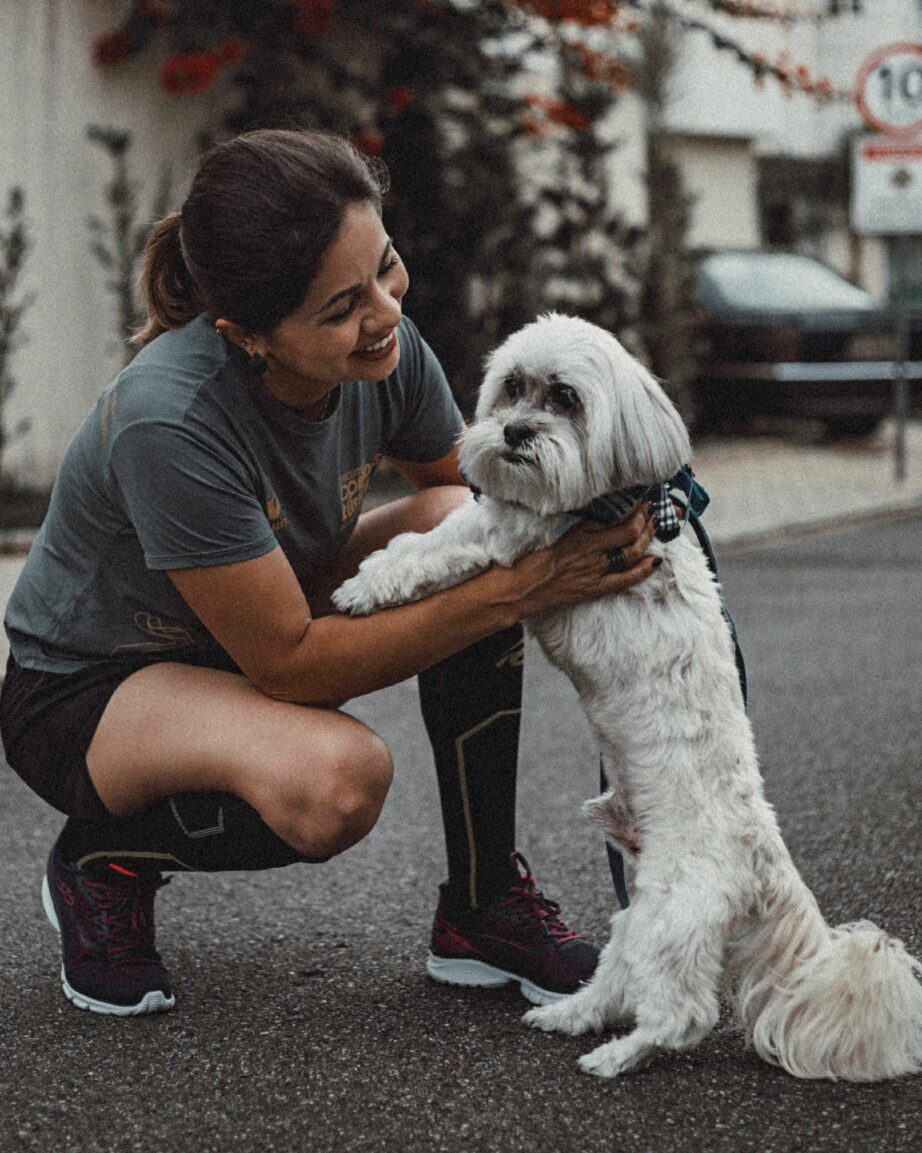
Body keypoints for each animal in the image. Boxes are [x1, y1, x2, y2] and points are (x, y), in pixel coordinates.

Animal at [334, 313, 922, 1079]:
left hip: (669, 918)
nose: (514, 433)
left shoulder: (511, 537)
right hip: (638, 911)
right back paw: (568, 1013)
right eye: (512, 387)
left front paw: (364, 587)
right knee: (617, 978)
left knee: (682, 1015)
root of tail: (764, 860)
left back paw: (617, 1055)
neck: (604, 496)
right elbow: (430, 535)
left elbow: (433, 549)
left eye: (565, 398)